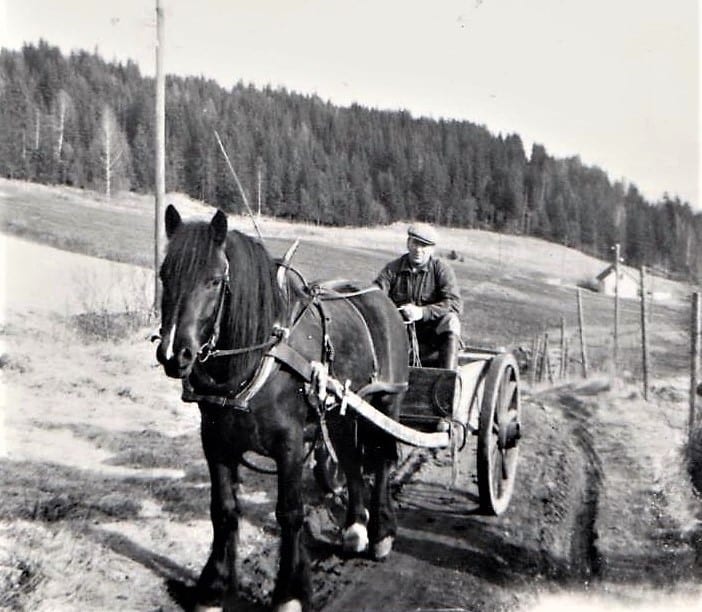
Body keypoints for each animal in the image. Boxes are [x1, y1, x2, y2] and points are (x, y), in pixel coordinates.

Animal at [154, 207, 408, 612]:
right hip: (340, 415)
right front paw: (213, 587)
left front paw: (290, 593)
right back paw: (355, 527)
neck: (258, 355)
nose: (174, 354)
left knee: (381, 461)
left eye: (214, 280)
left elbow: (290, 513)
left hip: (386, 403)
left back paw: (381, 532)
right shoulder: (216, 442)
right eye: (165, 274)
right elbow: (223, 509)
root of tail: (381, 300)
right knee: (351, 461)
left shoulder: (288, 443)